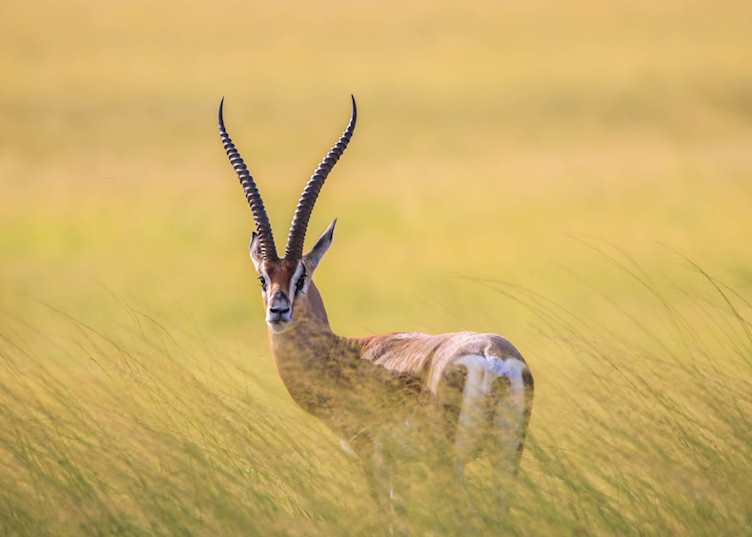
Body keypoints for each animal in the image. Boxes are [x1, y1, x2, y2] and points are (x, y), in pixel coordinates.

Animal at [218, 96, 534, 516]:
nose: (278, 311)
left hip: (451, 462)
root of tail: (492, 356)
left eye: (302, 276)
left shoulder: (372, 454)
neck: (345, 355)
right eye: (263, 279)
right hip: (507, 458)